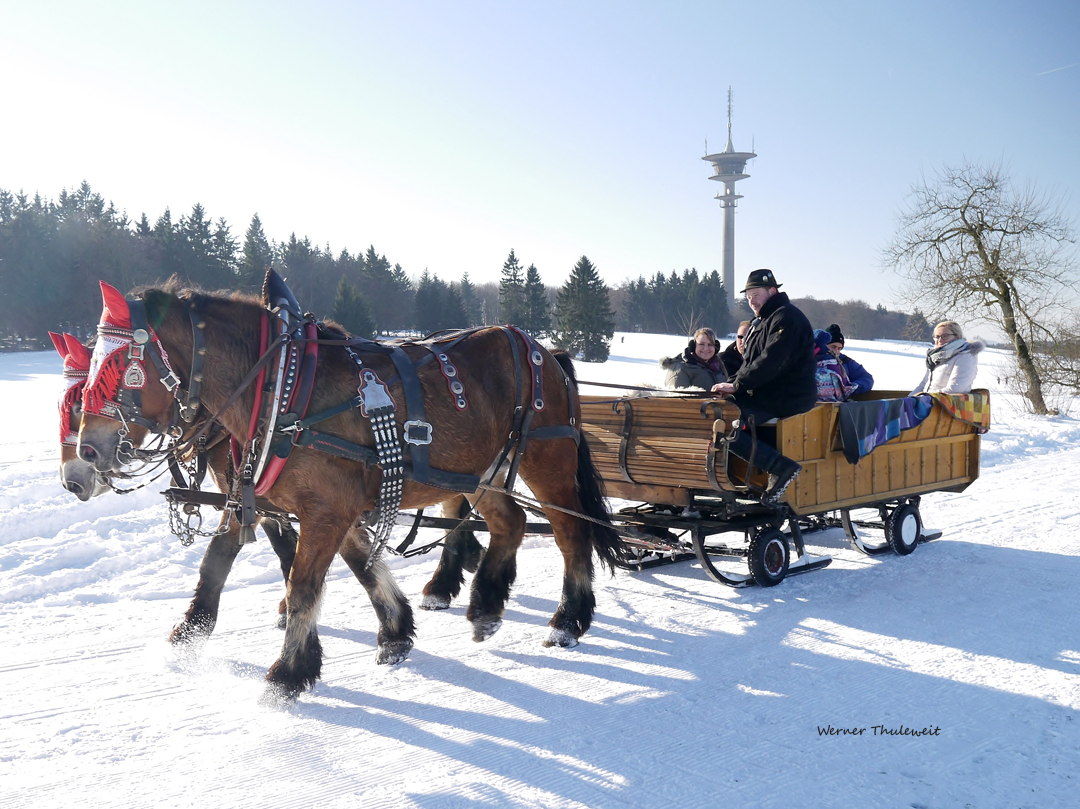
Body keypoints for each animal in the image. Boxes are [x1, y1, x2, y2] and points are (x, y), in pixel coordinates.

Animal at [78, 276, 626, 695]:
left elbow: (303, 587)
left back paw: (567, 620)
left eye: (120, 368)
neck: (281, 388)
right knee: (509, 522)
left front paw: (288, 673)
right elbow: (346, 567)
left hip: (545, 459)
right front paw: (395, 633)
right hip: (481, 468)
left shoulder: (327, 510)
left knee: (569, 534)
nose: (86, 453)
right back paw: (486, 605)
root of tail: (546, 350)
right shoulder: (301, 504)